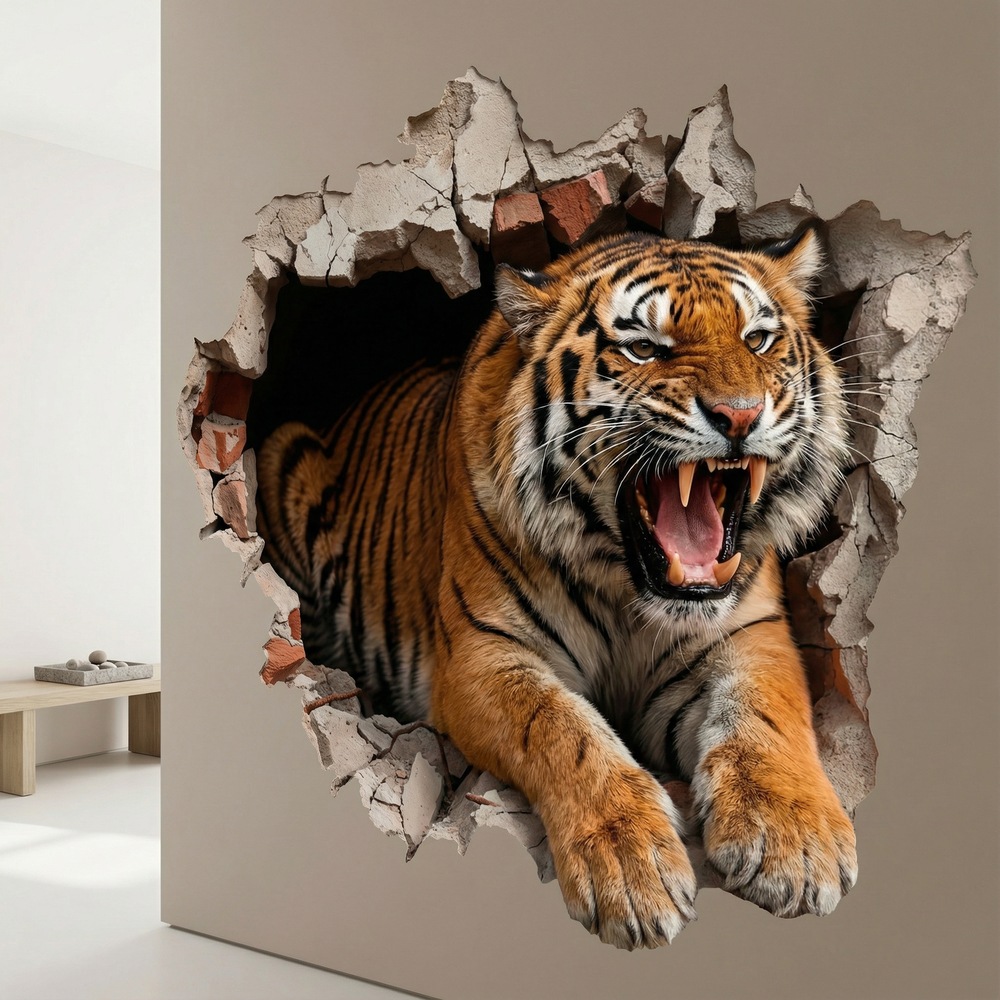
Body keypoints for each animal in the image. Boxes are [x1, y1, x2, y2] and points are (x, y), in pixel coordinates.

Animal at [255, 222, 859, 950]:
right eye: (643, 347)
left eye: (758, 340)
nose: (740, 416)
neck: (631, 591)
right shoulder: (485, 655)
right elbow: (564, 731)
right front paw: (629, 869)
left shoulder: (752, 632)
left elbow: (764, 716)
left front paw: (794, 843)